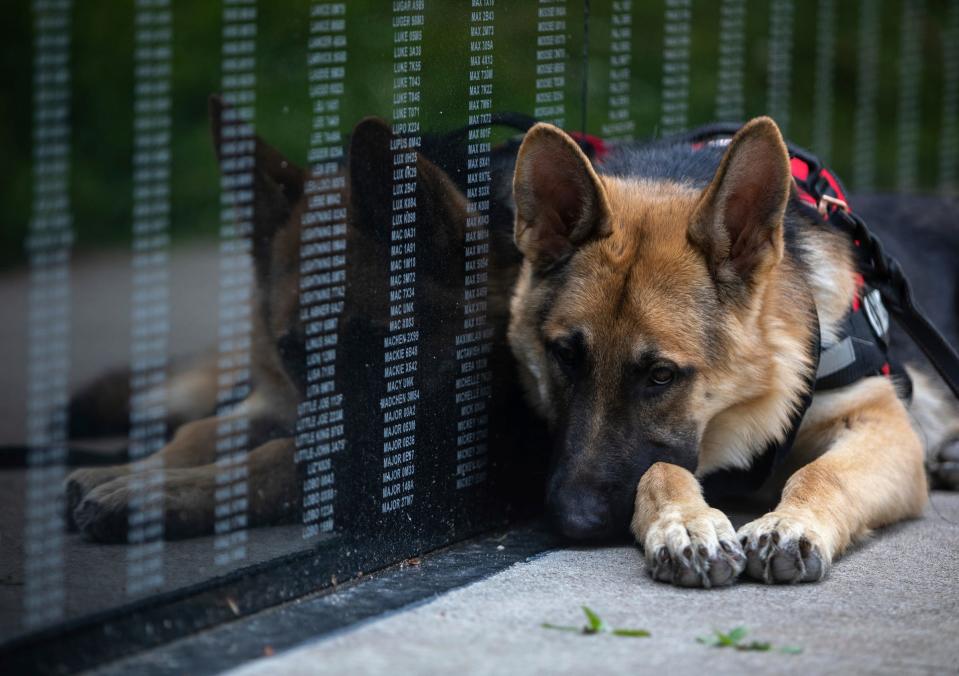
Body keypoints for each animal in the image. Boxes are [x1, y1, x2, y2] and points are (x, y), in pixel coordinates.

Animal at [510, 116, 959, 588]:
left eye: (661, 374)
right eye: (565, 355)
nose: (573, 520)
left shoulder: (882, 423)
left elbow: (822, 472)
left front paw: (790, 524)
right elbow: (661, 468)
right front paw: (687, 524)